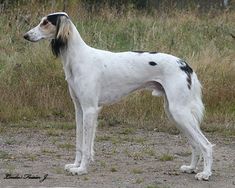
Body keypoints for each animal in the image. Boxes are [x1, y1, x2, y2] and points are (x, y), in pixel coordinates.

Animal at [23, 12, 213, 180]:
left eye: (45, 22)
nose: (25, 35)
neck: (78, 58)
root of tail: (185, 64)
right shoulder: (79, 109)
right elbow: (79, 142)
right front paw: (75, 165)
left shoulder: (90, 109)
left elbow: (86, 145)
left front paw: (82, 169)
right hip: (173, 112)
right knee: (195, 144)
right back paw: (191, 168)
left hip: (179, 111)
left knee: (206, 144)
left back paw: (205, 174)